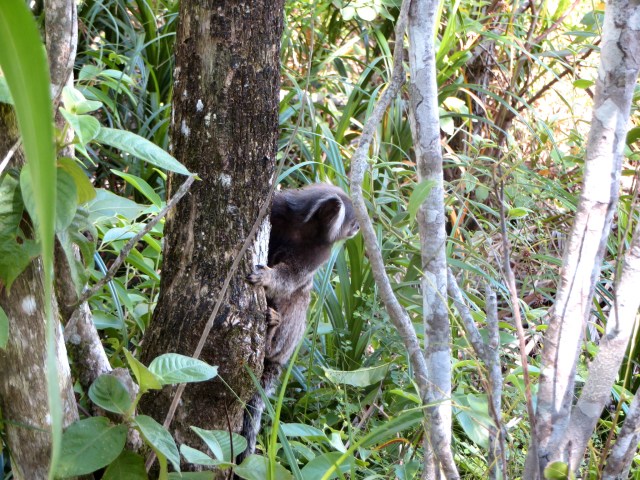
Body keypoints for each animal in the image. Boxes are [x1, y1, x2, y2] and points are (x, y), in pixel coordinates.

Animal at [238, 183, 360, 462]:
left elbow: (290, 278)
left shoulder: (317, 254)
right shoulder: (277, 210)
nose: (359, 227)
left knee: (297, 303)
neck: (304, 229)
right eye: (352, 222)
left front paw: (268, 277)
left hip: (288, 342)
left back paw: (271, 335)